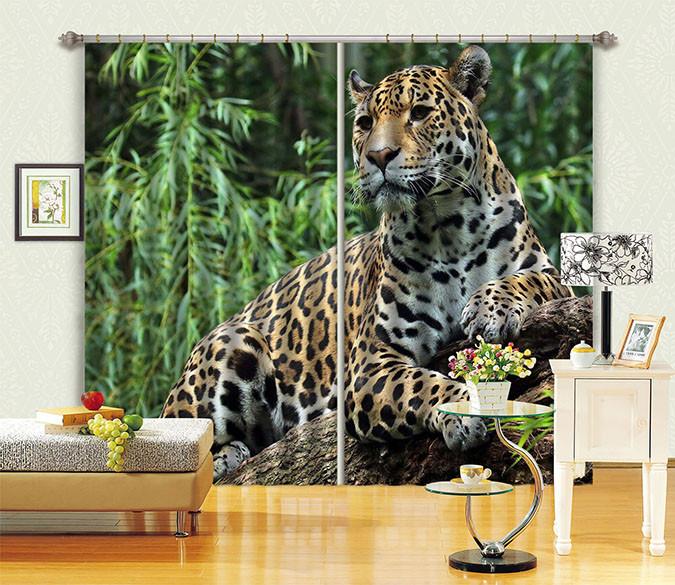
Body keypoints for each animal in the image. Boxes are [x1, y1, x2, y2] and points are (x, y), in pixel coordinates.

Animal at [161, 46, 571, 481]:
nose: (379, 156)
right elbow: (420, 386)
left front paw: (491, 308)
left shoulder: (552, 274)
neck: (448, 223)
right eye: (364, 123)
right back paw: (225, 455)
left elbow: (529, 281)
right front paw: (463, 410)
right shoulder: (370, 365)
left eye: (419, 113)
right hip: (234, 338)